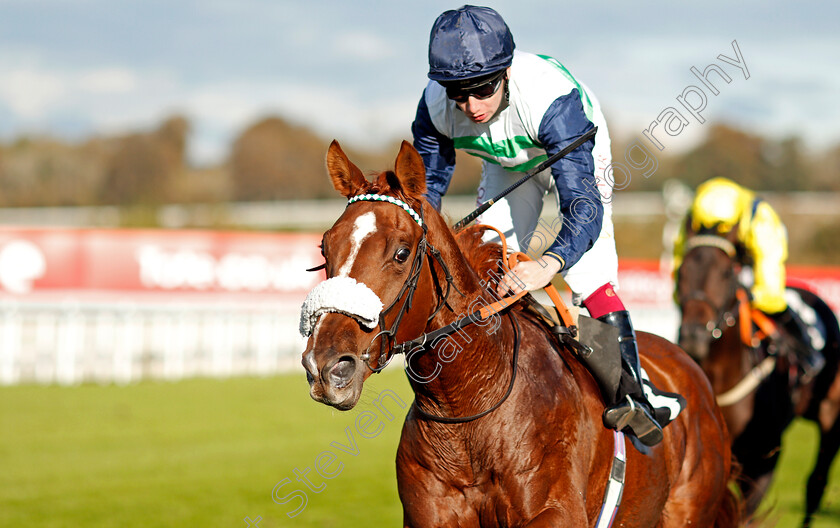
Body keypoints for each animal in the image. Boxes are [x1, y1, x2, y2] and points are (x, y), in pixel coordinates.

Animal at [676, 233, 840, 524]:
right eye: (681, 271)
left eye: (726, 272)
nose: (693, 336)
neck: (720, 378)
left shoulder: (763, 459)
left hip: (830, 416)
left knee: (816, 483)